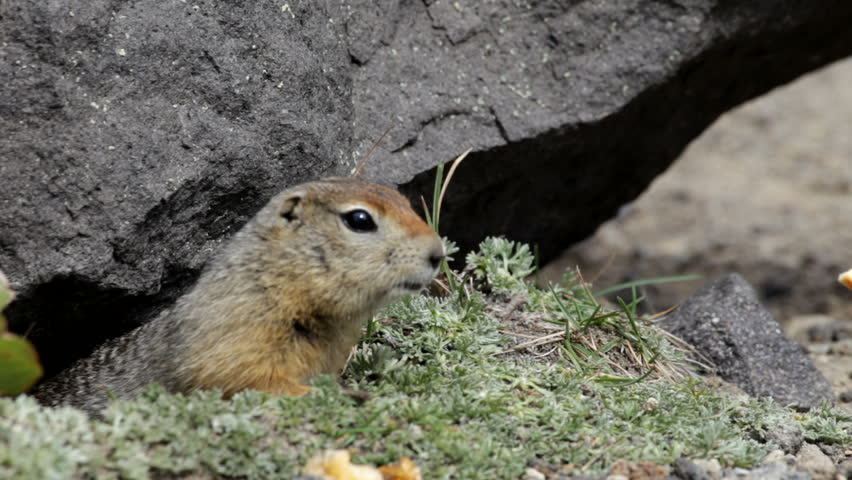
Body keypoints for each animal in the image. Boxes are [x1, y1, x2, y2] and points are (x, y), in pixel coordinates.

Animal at [31, 178, 446, 414]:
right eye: (359, 220)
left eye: (407, 203)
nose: (438, 253)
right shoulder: (236, 336)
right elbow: (252, 382)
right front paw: (350, 395)